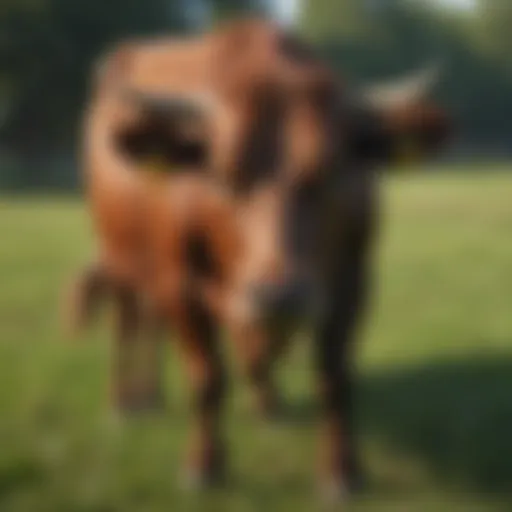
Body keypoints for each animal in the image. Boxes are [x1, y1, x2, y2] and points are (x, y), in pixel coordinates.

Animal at [70, 17, 450, 500]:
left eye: (330, 168)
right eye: (224, 172)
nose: (279, 295)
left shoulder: (353, 282)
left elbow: (334, 376)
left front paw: (342, 470)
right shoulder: (180, 282)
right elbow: (207, 378)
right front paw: (203, 464)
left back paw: (240, 399)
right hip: (120, 258)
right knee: (129, 322)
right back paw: (125, 402)